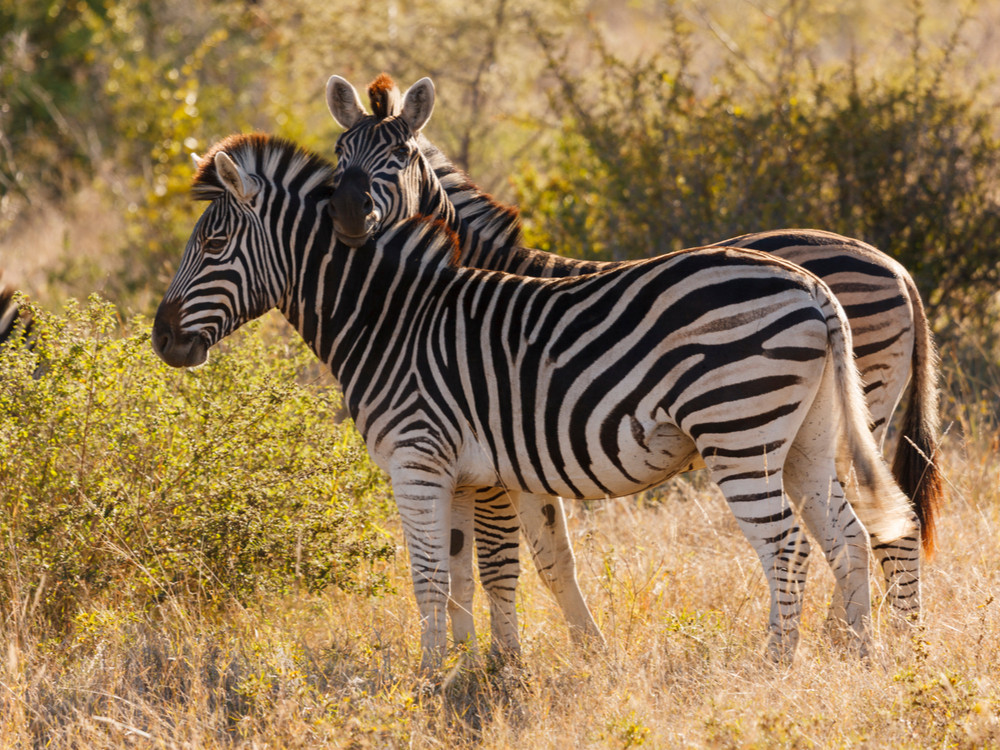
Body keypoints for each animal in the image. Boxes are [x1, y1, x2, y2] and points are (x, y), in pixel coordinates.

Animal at [152, 135, 916, 668]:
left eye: (214, 242)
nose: (161, 339)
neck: (390, 317)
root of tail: (814, 288)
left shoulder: (416, 460)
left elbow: (429, 576)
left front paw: (427, 682)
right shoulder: (465, 472)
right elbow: (463, 576)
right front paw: (468, 672)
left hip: (738, 427)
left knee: (787, 544)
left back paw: (776, 663)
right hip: (808, 437)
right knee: (850, 536)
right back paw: (862, 656)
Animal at [324, 72, 940, 652]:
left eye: (399, 155)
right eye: (339, 152)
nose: (349, 214)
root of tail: (894, 267)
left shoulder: (494, 455)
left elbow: (505, 559)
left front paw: (505, 659)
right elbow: (501, 559)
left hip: (833, 411)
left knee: (877, 527)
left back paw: (868, 635)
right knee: (880, 523)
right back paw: (889, 635)